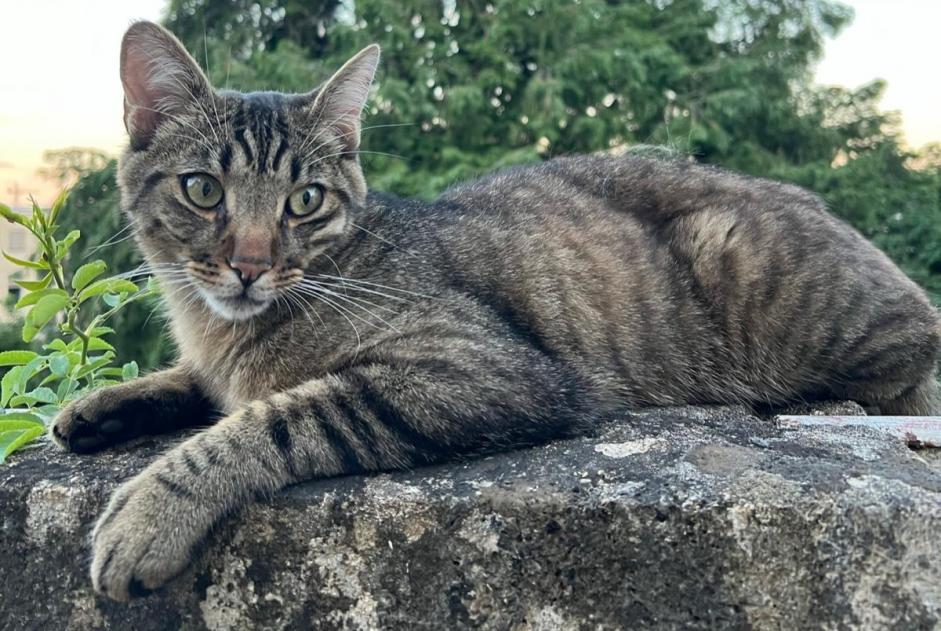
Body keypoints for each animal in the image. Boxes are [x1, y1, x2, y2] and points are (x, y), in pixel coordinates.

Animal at [53, 21, 940, 604]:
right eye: (202, 188)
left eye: (304, 200)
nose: (249, 263)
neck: (222, 327)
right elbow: (198, 384)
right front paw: (105, 405)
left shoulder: (483, 369)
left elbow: (272, 418)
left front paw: (150, 507)